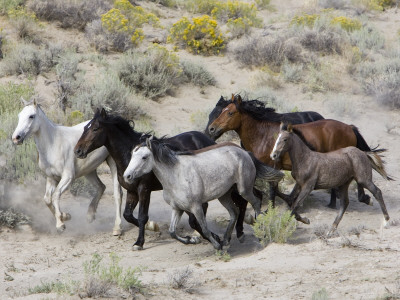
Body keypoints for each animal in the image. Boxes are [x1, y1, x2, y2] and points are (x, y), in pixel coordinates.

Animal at [12, 99, 122, 236]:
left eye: (31, 116)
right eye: (19, 116)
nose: (16, 138)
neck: (53, 145)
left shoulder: (68, 177)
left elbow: (55, 195)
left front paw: (60, 224)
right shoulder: (51, 178)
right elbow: (47, 199)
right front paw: (65, 216)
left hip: (113, 164)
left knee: (117, 194)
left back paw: (117, 228)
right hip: (89, 170)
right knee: (101, 187)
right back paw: (90, 215)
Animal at [73, 109, 256, 250]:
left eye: (95, 128)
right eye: (85, 128)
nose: (78, 151)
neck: (127, 157)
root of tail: (207, 138)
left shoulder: (144, 190)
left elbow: (142, 216)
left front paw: (140, 242)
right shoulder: (132, 191)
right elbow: (128, 215)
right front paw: (153, 228)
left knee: (239, 202)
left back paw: (237, 233)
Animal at [123, 137, 282, 250]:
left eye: (144, 157)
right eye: (132, 155)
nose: (127, 176)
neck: (176, 175)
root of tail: (245, 152)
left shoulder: (196, 207)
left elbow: (204, 229)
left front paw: (216, 246)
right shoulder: (177, 208)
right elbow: (172, 232)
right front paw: (191, 240)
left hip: (244, 189)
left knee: (255, 203)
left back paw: (261, 232)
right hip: (224, 195)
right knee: (234, 212)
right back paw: (226, 239)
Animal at [208, 95, 380, 210]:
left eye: (229, 113)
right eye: (220, 111)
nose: (211, 129)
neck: (262, 135)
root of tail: (349, 127)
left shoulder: (272, 167)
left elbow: (272, 190)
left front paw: (272, 209)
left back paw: (362, 198)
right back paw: (333, 203)